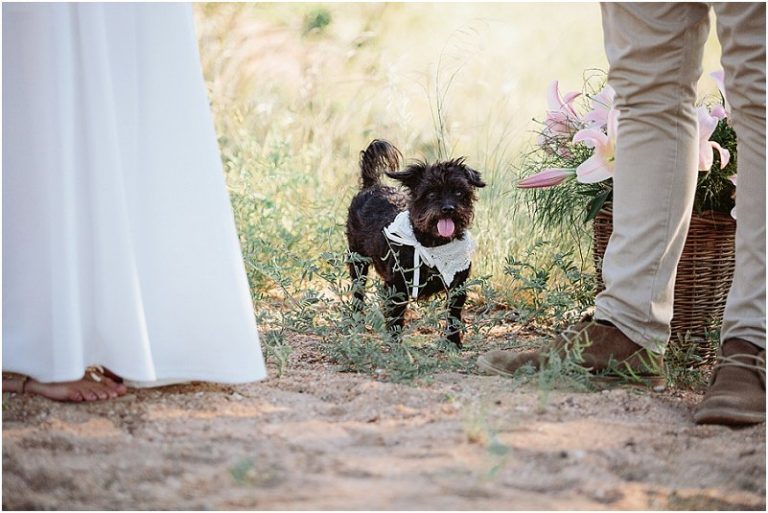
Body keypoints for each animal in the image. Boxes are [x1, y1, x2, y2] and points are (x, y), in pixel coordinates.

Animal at [346, 139, 485, 348]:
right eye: (431, 193)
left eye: (459, 192)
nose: (448, 208)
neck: (432, 244)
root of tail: (371, 186)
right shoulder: (397, 287)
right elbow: (395, 317)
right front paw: (396, 345)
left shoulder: (458, 285)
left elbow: (453, 316)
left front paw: (453, 343)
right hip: (357, 261)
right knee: (358, 293)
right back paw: (357, 324)